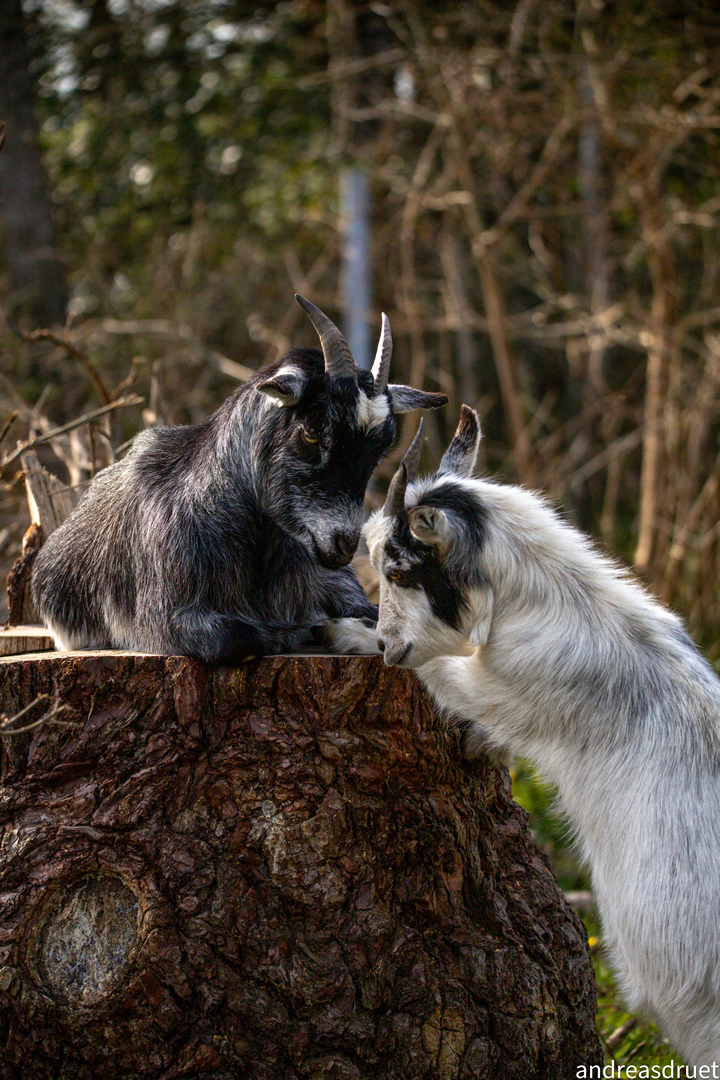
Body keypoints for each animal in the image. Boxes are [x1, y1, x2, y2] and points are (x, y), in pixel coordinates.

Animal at [33, 300, 446, 660]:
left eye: (380, 448)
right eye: (312, 433)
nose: (344, 544)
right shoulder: (166, 619)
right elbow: (243, 638)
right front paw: (308, 630)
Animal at [334, 406, 720, 1071]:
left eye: (399, 570)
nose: (387, 645)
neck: (558, 607)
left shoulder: (506, 686)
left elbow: (447, 674)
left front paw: (347, 635)